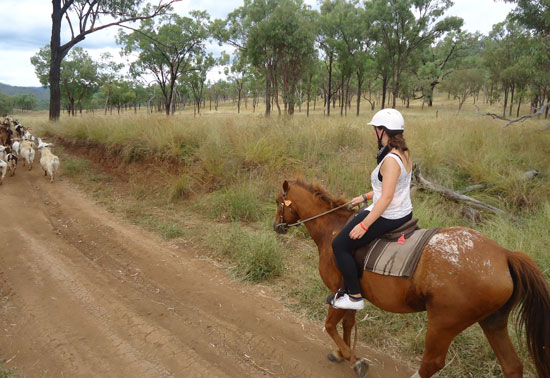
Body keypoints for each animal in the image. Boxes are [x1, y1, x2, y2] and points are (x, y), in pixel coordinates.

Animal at [274, 179, 550, 376]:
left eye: (278, 201)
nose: (276, 227)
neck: (332, 229)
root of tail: (504, 254)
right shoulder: (350, 296)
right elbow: (348, 324)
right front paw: (343, 354)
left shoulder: (337, 291)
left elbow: (330, 326)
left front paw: (353, 360)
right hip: (493, 321)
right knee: (512, 366)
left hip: (443, 323)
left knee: (432, 363)